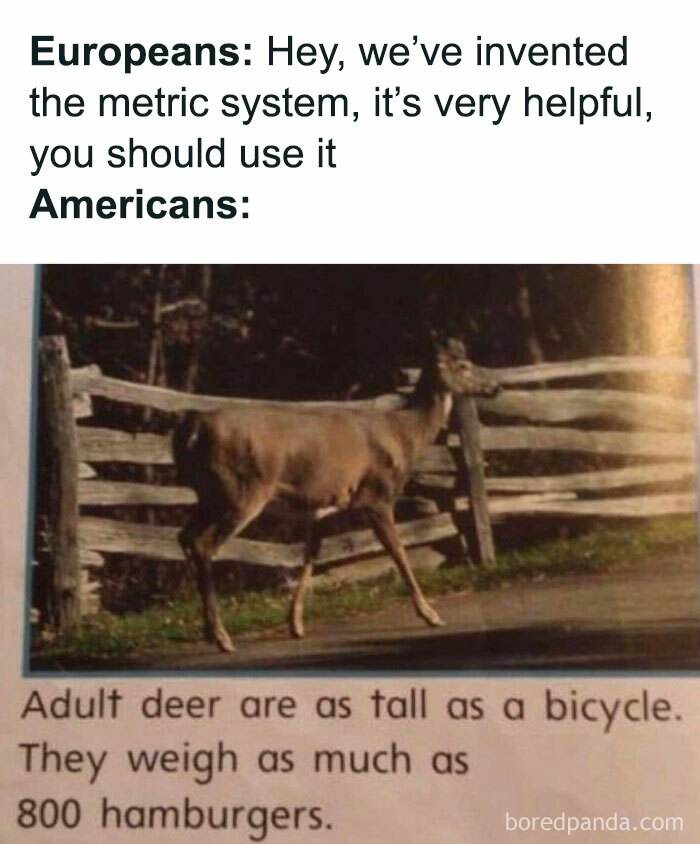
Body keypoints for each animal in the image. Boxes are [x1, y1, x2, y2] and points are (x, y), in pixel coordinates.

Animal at [172, 340, 501, 653]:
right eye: (464, 365)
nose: (496, 386)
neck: (406, 434)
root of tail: (193, 428)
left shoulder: (324, 506)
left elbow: (310, 557)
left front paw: (295, 624)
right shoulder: (376, 495)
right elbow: (399, 551)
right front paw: (430, 614)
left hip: (209, 495)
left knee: (184, 536)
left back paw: (209, 630)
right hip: (241, 491)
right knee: (202, 544)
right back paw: (221, 636)